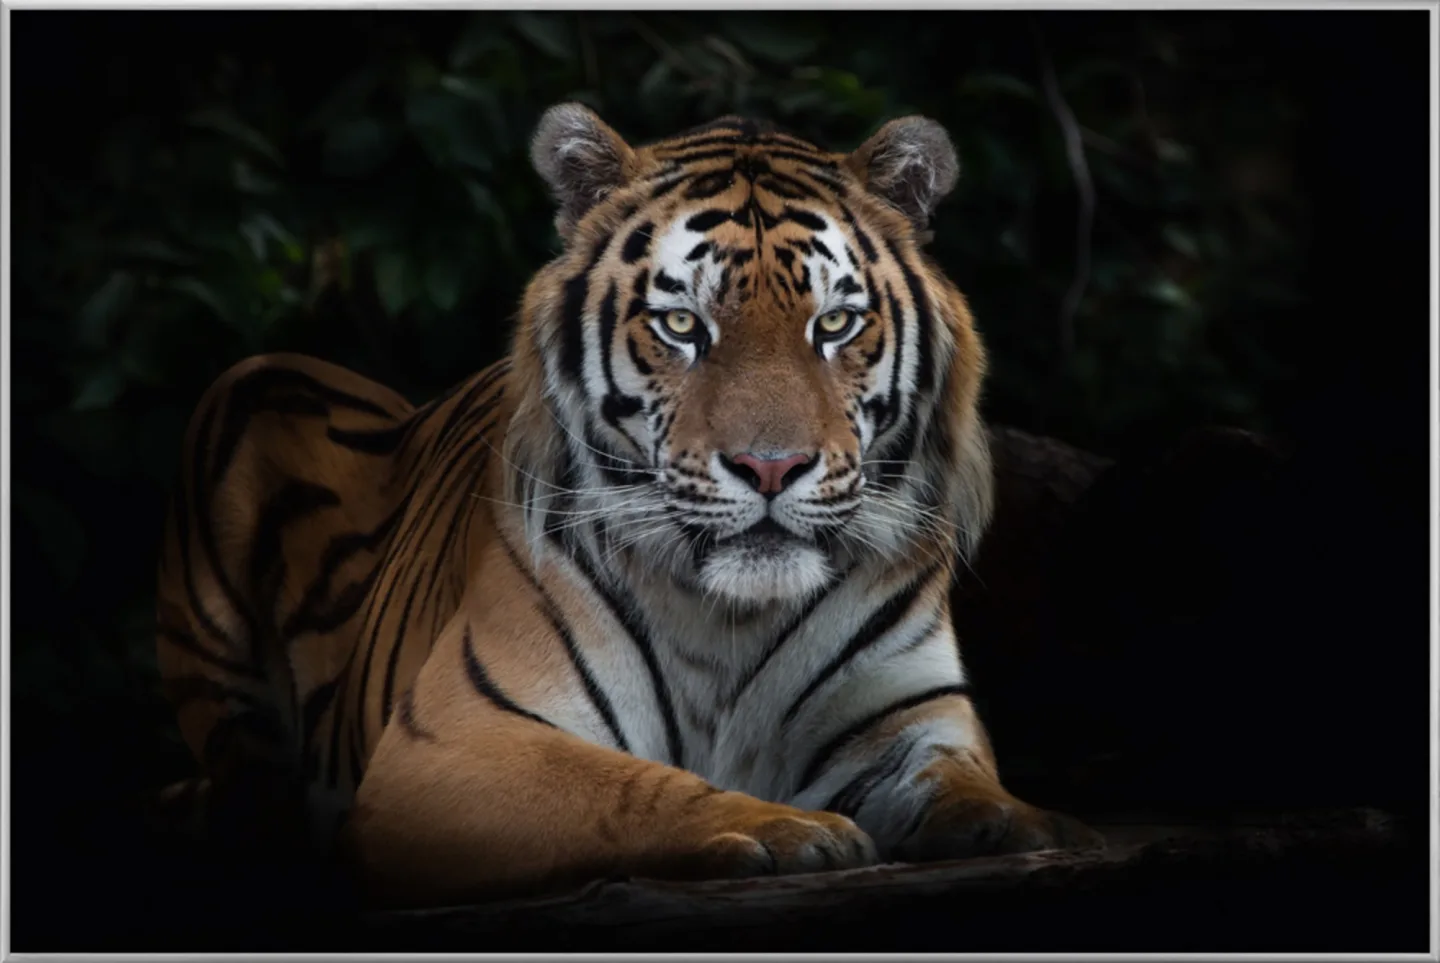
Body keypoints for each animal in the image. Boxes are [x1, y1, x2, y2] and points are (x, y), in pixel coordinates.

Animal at [154, 103, 1103, 908]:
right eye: (682, 327)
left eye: (834, 325)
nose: (771, 467)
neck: (734, 619)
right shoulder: (455, 739)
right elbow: (626, 785)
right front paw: (784, 827)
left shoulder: (909, 723)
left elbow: (970, 789)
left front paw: (1039, 825)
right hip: (252, 384)